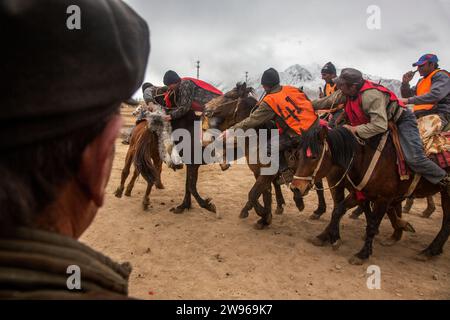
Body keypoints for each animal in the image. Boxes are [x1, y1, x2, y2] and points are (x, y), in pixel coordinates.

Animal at [290, 126, 448, 264]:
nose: (295, 188)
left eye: (314, 157)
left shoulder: (383, 198)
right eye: (298, 155)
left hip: (446, 192)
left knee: (446, 222)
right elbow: (339, 210)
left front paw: (363, 254)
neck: (363, 159)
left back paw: (429, 250)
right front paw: (331, 238)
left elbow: (371, 223)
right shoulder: (359, 192)